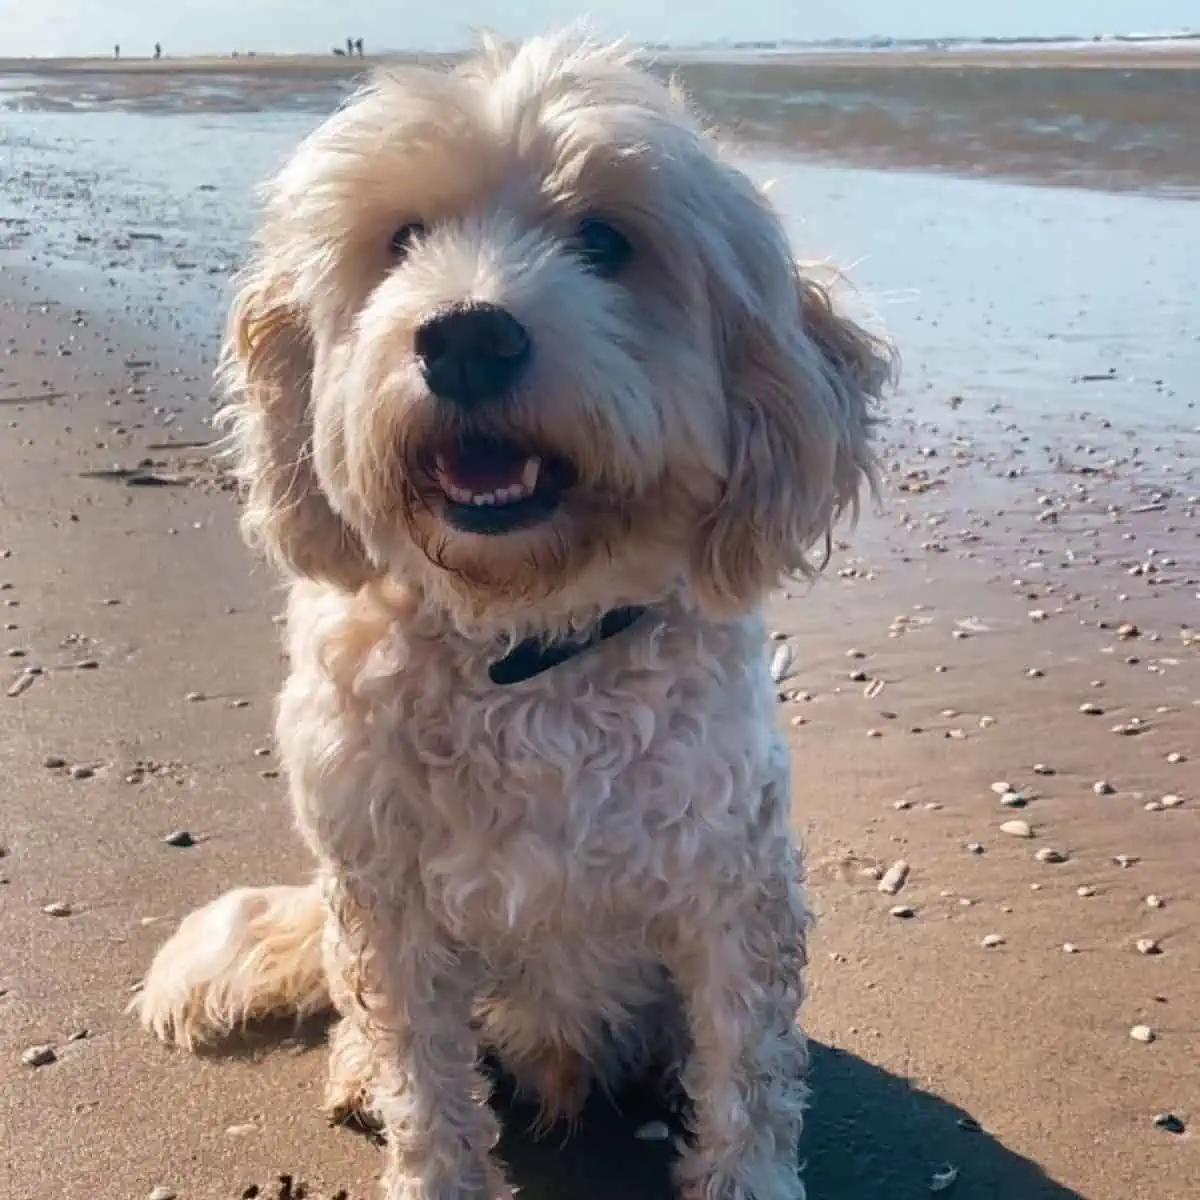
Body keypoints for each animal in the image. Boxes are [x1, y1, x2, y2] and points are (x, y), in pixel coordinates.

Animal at [138, 28, 892, 1200]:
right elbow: (427, 1087)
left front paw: (746, 1173)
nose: (465, 337)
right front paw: (427, 1159)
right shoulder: (387, 906)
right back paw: (355, 1074)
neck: (527, 641)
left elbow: (748, 1074)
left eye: (604, 240)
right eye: (402, 238)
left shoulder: (735, 884)